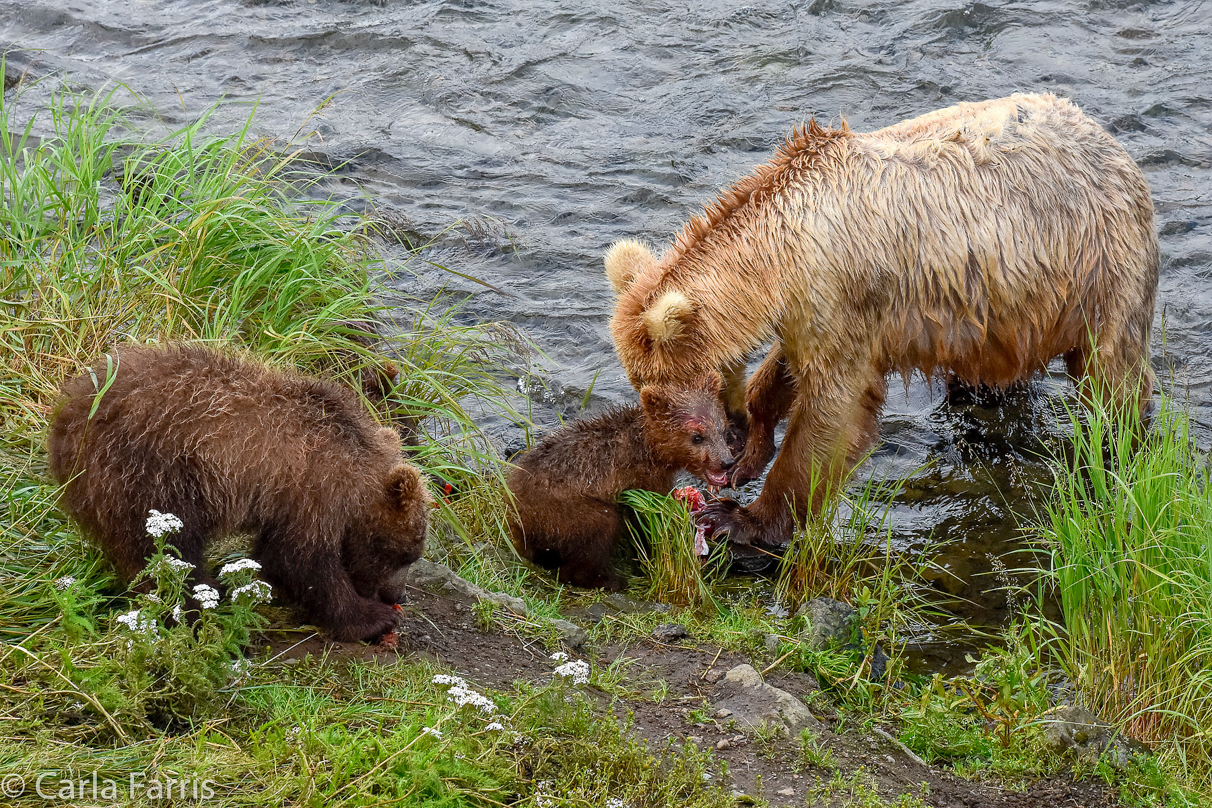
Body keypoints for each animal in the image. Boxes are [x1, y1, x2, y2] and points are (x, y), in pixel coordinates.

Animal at [50, 344, 431, 639]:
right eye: (406, 554)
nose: (397, 595)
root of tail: (66, 415)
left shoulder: (288, 500)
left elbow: (278, 557)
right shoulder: (312, 490)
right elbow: (302, 561)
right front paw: (372, 618)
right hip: (148, 474)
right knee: (165, 550)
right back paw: (195, 608)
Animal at [606, 93, 1153, 549]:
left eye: (656, 392)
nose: (712, 461)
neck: (776, 259)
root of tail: (1113, 142)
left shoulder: (841, 296)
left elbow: (832, 412)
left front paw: (740, 518)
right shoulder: (808, 310)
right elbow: (783, 371)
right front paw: (750, 450)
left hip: (1097, 271)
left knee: (1114, 377)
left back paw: (1118, 447)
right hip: (1005, 307)